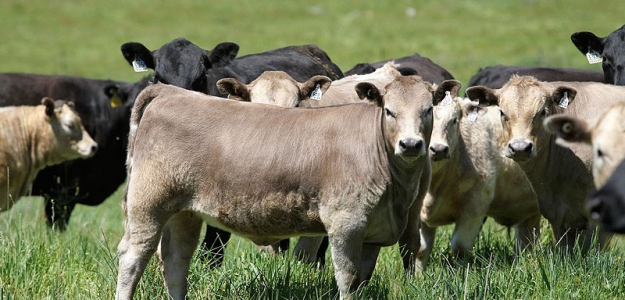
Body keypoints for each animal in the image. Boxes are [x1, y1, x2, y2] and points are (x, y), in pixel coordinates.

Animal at [116, 78, 458, 300]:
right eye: (389, 110)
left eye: (428, 110)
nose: (411, 144)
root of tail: (170, 91)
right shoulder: (346, 223)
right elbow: (346, 278)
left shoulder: (373, 233)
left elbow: (362, 279)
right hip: (148, 204)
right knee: (134, 258)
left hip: (183, 212)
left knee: (175, 262)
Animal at [420, 96, 540, 270]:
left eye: (454, 120)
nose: (438, 149)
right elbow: (421, 250)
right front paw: (417, 275)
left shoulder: (474, 208)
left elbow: (460, 248)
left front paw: (460, 274)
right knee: (526, 240)